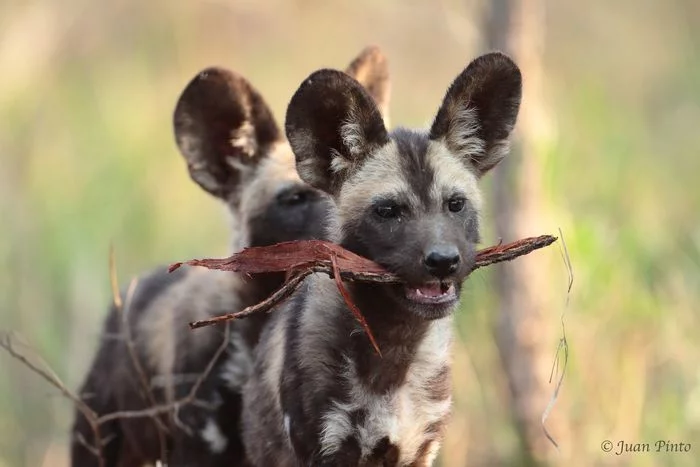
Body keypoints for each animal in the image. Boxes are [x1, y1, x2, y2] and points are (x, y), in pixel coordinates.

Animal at [243, 51, 524, 467]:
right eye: (388, 211)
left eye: (455, 204)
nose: (443, 261)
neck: (394, 352)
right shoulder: (326, 448)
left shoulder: (421, 448)